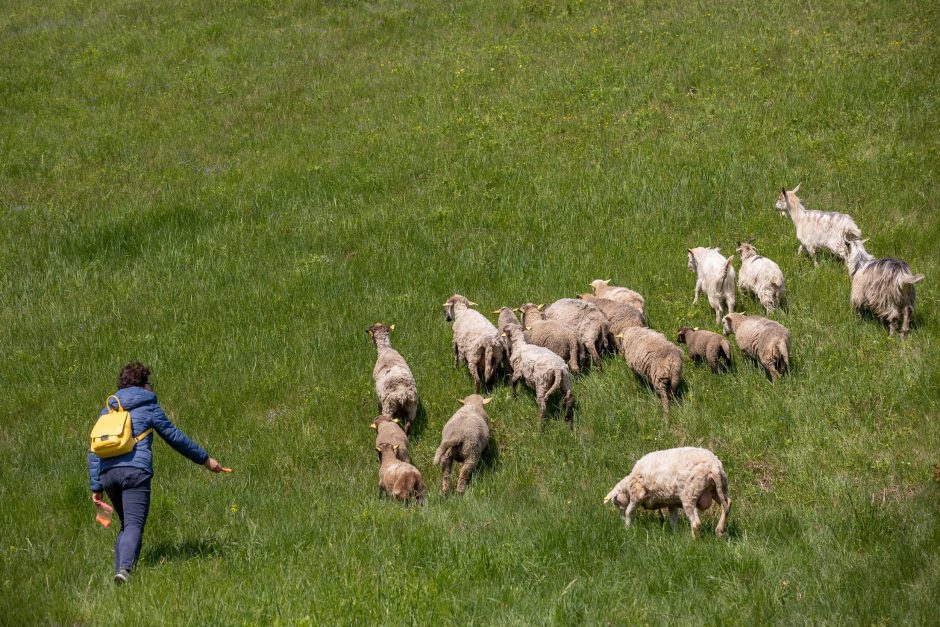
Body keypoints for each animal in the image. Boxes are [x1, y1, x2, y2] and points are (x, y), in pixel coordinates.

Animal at [604, 446, 736, 540]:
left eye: (616, 503)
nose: (620, 520)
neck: (628, 485)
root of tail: (713, 466)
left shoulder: (637, 495)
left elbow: (629, 511)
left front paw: (627, 528)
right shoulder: (672, 502)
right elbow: (673, 520)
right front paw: (674, 535)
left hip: (689, 494)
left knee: (696, 523)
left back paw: (693, 541)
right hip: (719, 488)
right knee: (728, 504)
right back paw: (719, 531)